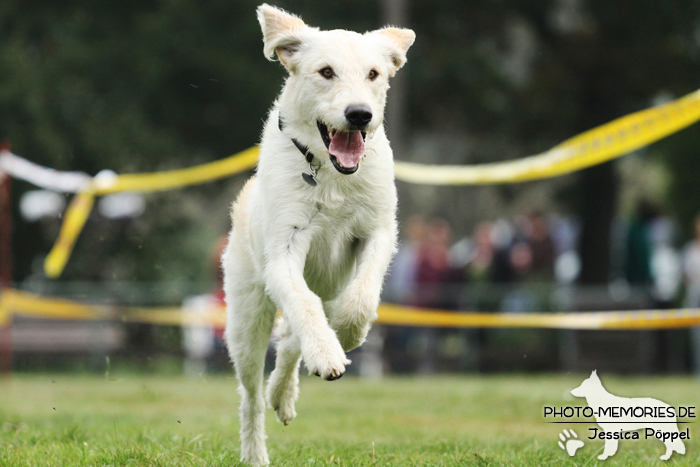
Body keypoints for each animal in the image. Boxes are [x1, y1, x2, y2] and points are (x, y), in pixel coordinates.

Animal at [221, 5, 412, 466]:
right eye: (326, 72)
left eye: (374, 74)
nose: (359, 113)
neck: (329, 173)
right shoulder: (284, 254)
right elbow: (304, 307)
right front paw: (327, 355)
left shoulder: (378, 233)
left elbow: (361, 300)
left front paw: (346, 335)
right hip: (246, 320)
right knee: (252, 393)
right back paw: (256, 448)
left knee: (292, 341)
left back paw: (285, 392)